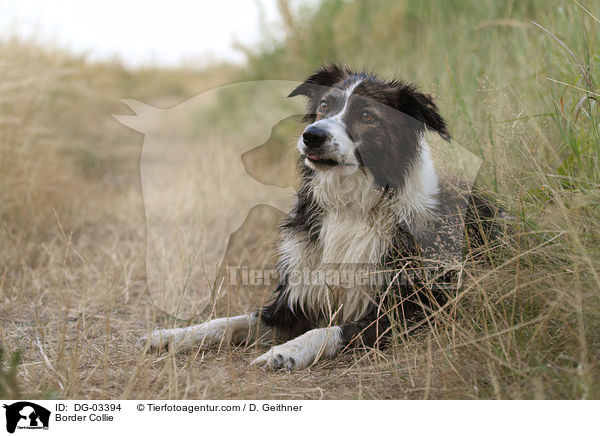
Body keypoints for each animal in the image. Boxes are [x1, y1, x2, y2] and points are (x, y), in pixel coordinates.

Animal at [150, 64, 502, 372]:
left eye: (366, 115)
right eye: (324, 105)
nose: (312, 136)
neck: (350, 205)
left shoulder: (411, 312)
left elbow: (331, 330)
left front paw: (285, 351)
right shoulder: (294, 300)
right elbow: (230, 321)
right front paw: (174, 335)